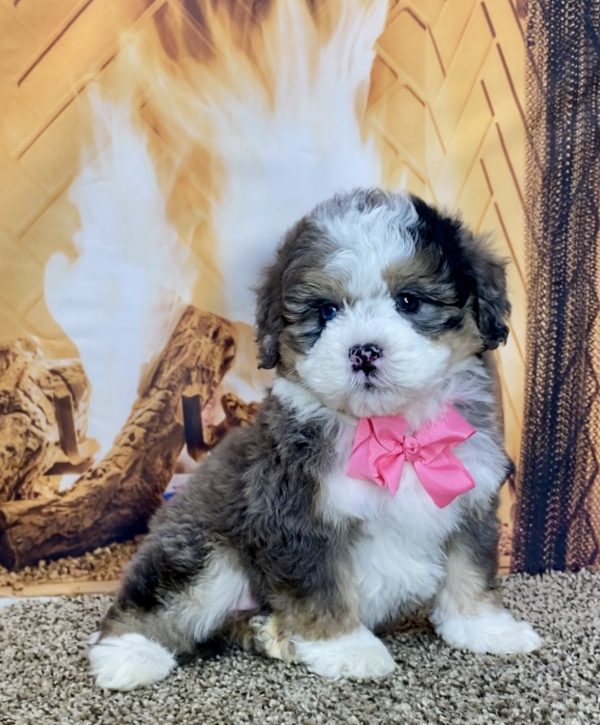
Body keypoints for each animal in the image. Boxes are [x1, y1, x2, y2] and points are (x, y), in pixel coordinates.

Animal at [90, 188, 544, 692]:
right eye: (326, 311)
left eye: (409, 301)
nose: (363, 352)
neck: (390, 433)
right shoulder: (295, 517)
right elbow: (322, 587)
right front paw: (348, 649)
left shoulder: (472, 500)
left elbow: (470, 568)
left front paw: (484, 627)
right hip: (205, 551)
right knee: (162, 601)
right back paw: (128, 655)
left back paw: (269, 633)